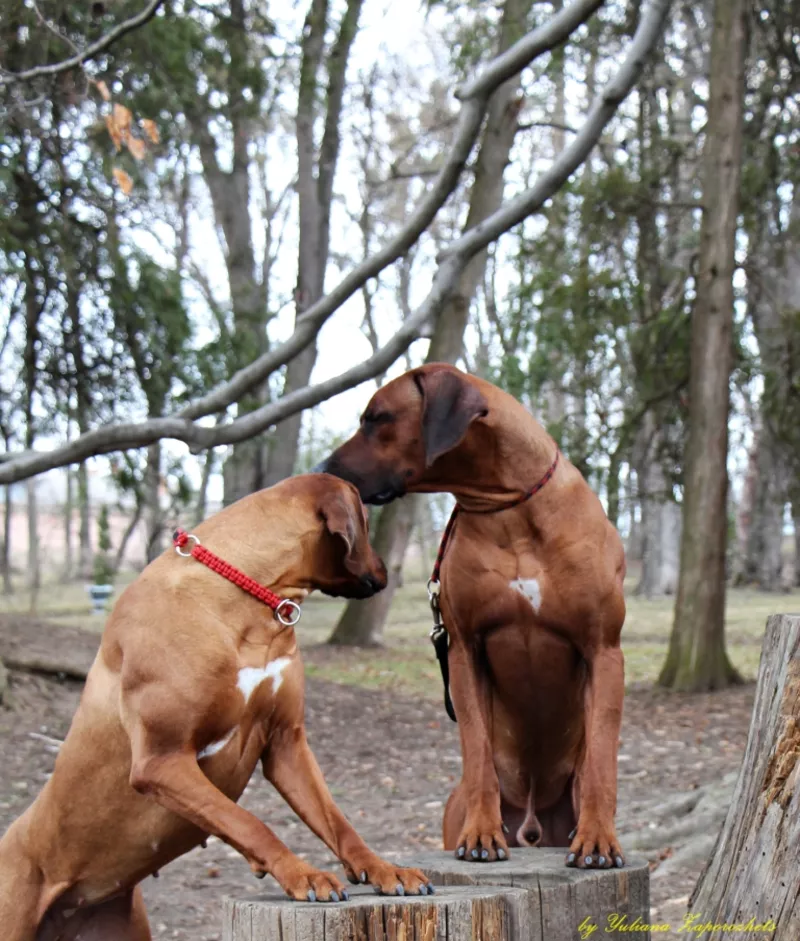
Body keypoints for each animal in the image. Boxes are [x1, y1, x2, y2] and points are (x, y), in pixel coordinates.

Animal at [0, 474, 432, 940]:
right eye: (367, 521)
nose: (388, 570)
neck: (247, 602)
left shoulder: (286, 744)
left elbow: (337, 820)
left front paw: (382, 868)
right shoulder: (163, 760)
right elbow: (248, 822)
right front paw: (301, 873)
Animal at [316, 364, 628, 872]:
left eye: (377, 418)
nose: (323, 469)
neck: (512, 508)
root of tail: (532, 820)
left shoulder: (604, 650)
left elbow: (602, 755)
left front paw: (599, 838)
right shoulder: (465, 649)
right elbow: (477, 746)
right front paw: (482, 834)